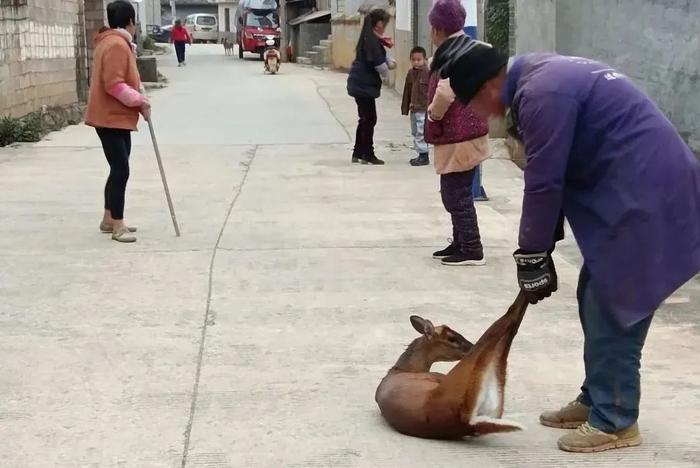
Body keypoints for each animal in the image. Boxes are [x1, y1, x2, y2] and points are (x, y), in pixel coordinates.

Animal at [374, 292, 528, 438]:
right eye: (451, 338)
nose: (469, 346)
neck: (406, 368)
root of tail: (465, 422)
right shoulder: (437, 376)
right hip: (461, 377)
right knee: (502, 326)